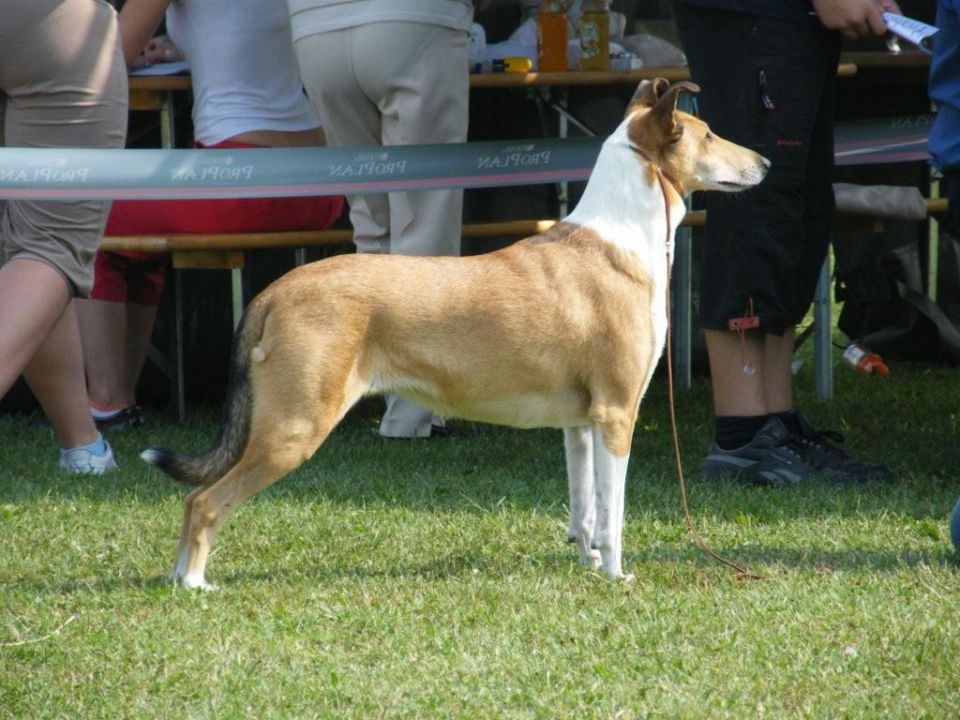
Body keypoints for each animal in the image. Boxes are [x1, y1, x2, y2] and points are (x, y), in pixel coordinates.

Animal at [144, 79, 772, 592]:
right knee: (205, 500)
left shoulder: (580, 422)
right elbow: (613, 513)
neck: (622, 236)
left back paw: (178, 578)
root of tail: (273, 291)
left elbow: (585, 508)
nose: (765, 162)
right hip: (294, 425)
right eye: (708, 134)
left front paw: (588, 565)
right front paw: (617, 575)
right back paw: (195, 583)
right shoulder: (618, 412)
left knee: (193, 499)